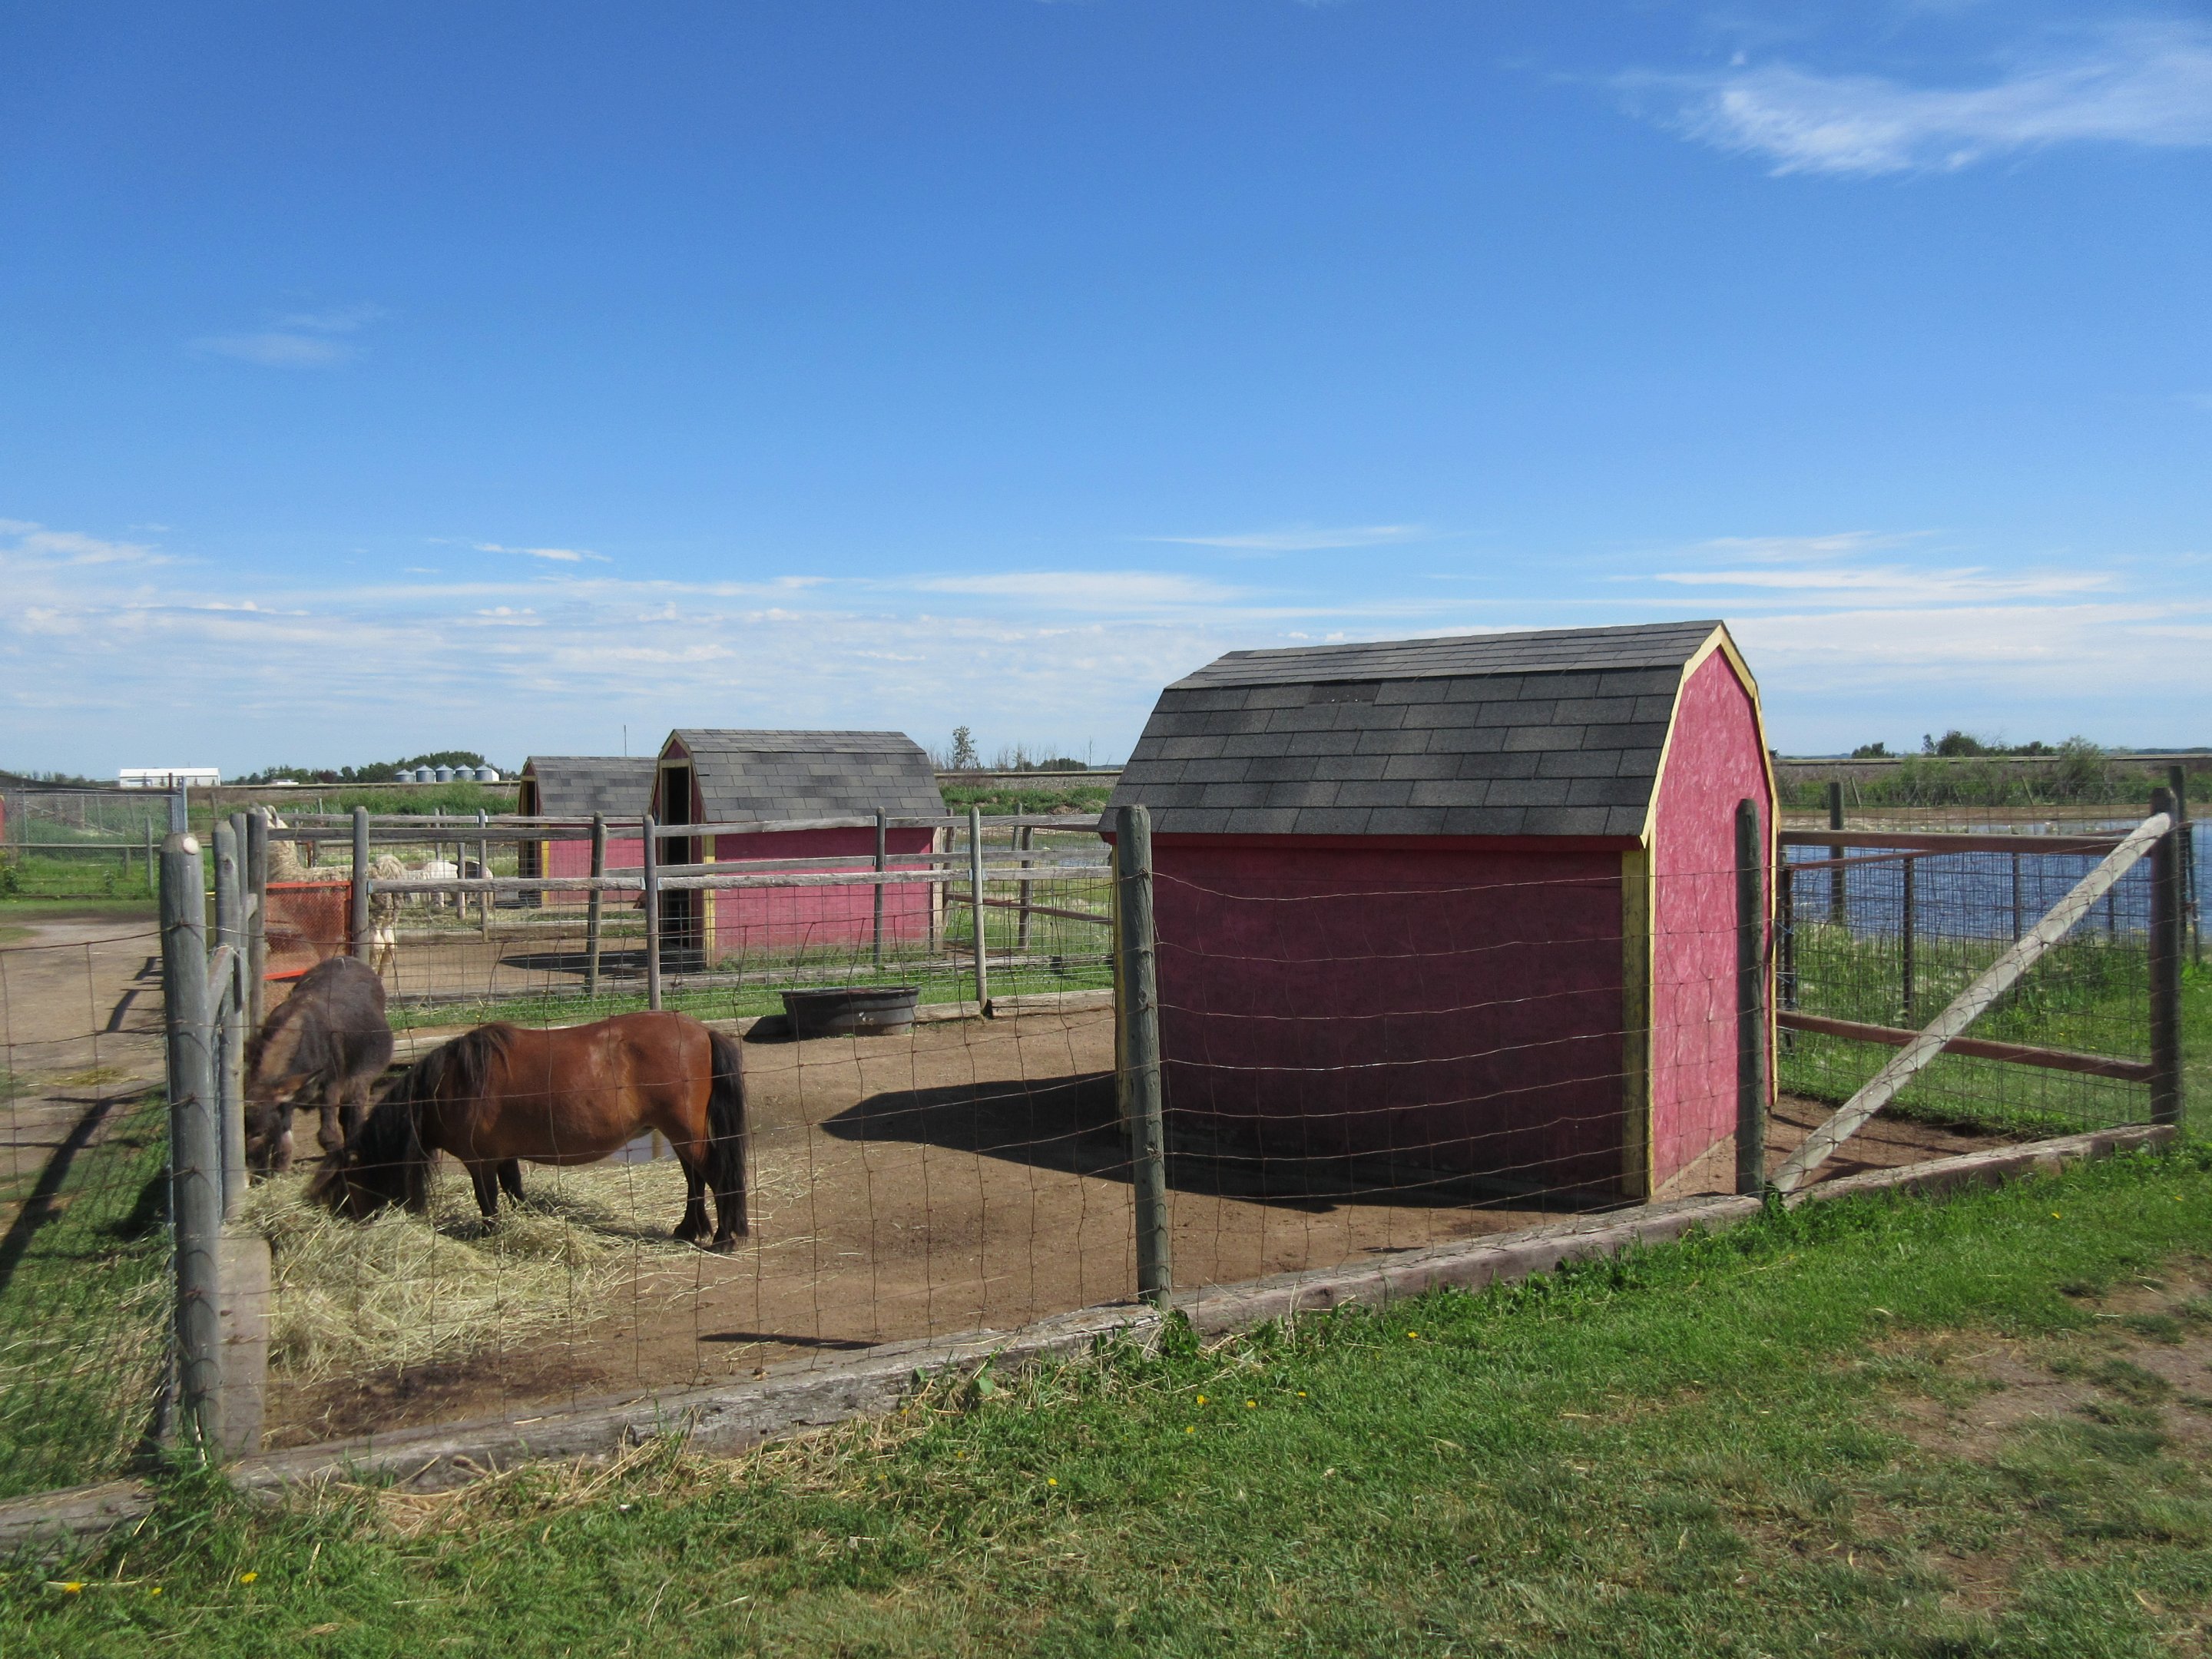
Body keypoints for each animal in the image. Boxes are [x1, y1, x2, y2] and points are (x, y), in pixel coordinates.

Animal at [244, 955, 395, 1174]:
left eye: (260, 1132)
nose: (250, 1167)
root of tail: (344, 958)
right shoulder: (286, 1096)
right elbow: (284, 1139)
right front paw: (281, 1168)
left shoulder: (331, 1086)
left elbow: (328, 1134)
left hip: (359, 1077)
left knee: (354, 1111)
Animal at [313, 1011, 750, 1249]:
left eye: (344, 1184)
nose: (337, 1222)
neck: (452, 1085)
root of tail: (702, 1031)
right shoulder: (505, 1157)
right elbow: (516, 1193)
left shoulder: (480, 1161)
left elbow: (488, 1201)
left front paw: (491, 1236)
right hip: (679, 1133)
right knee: (695, 1178)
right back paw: (689, 1229)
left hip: (685, 1132)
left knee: (714, 1175)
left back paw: (724, 1238)